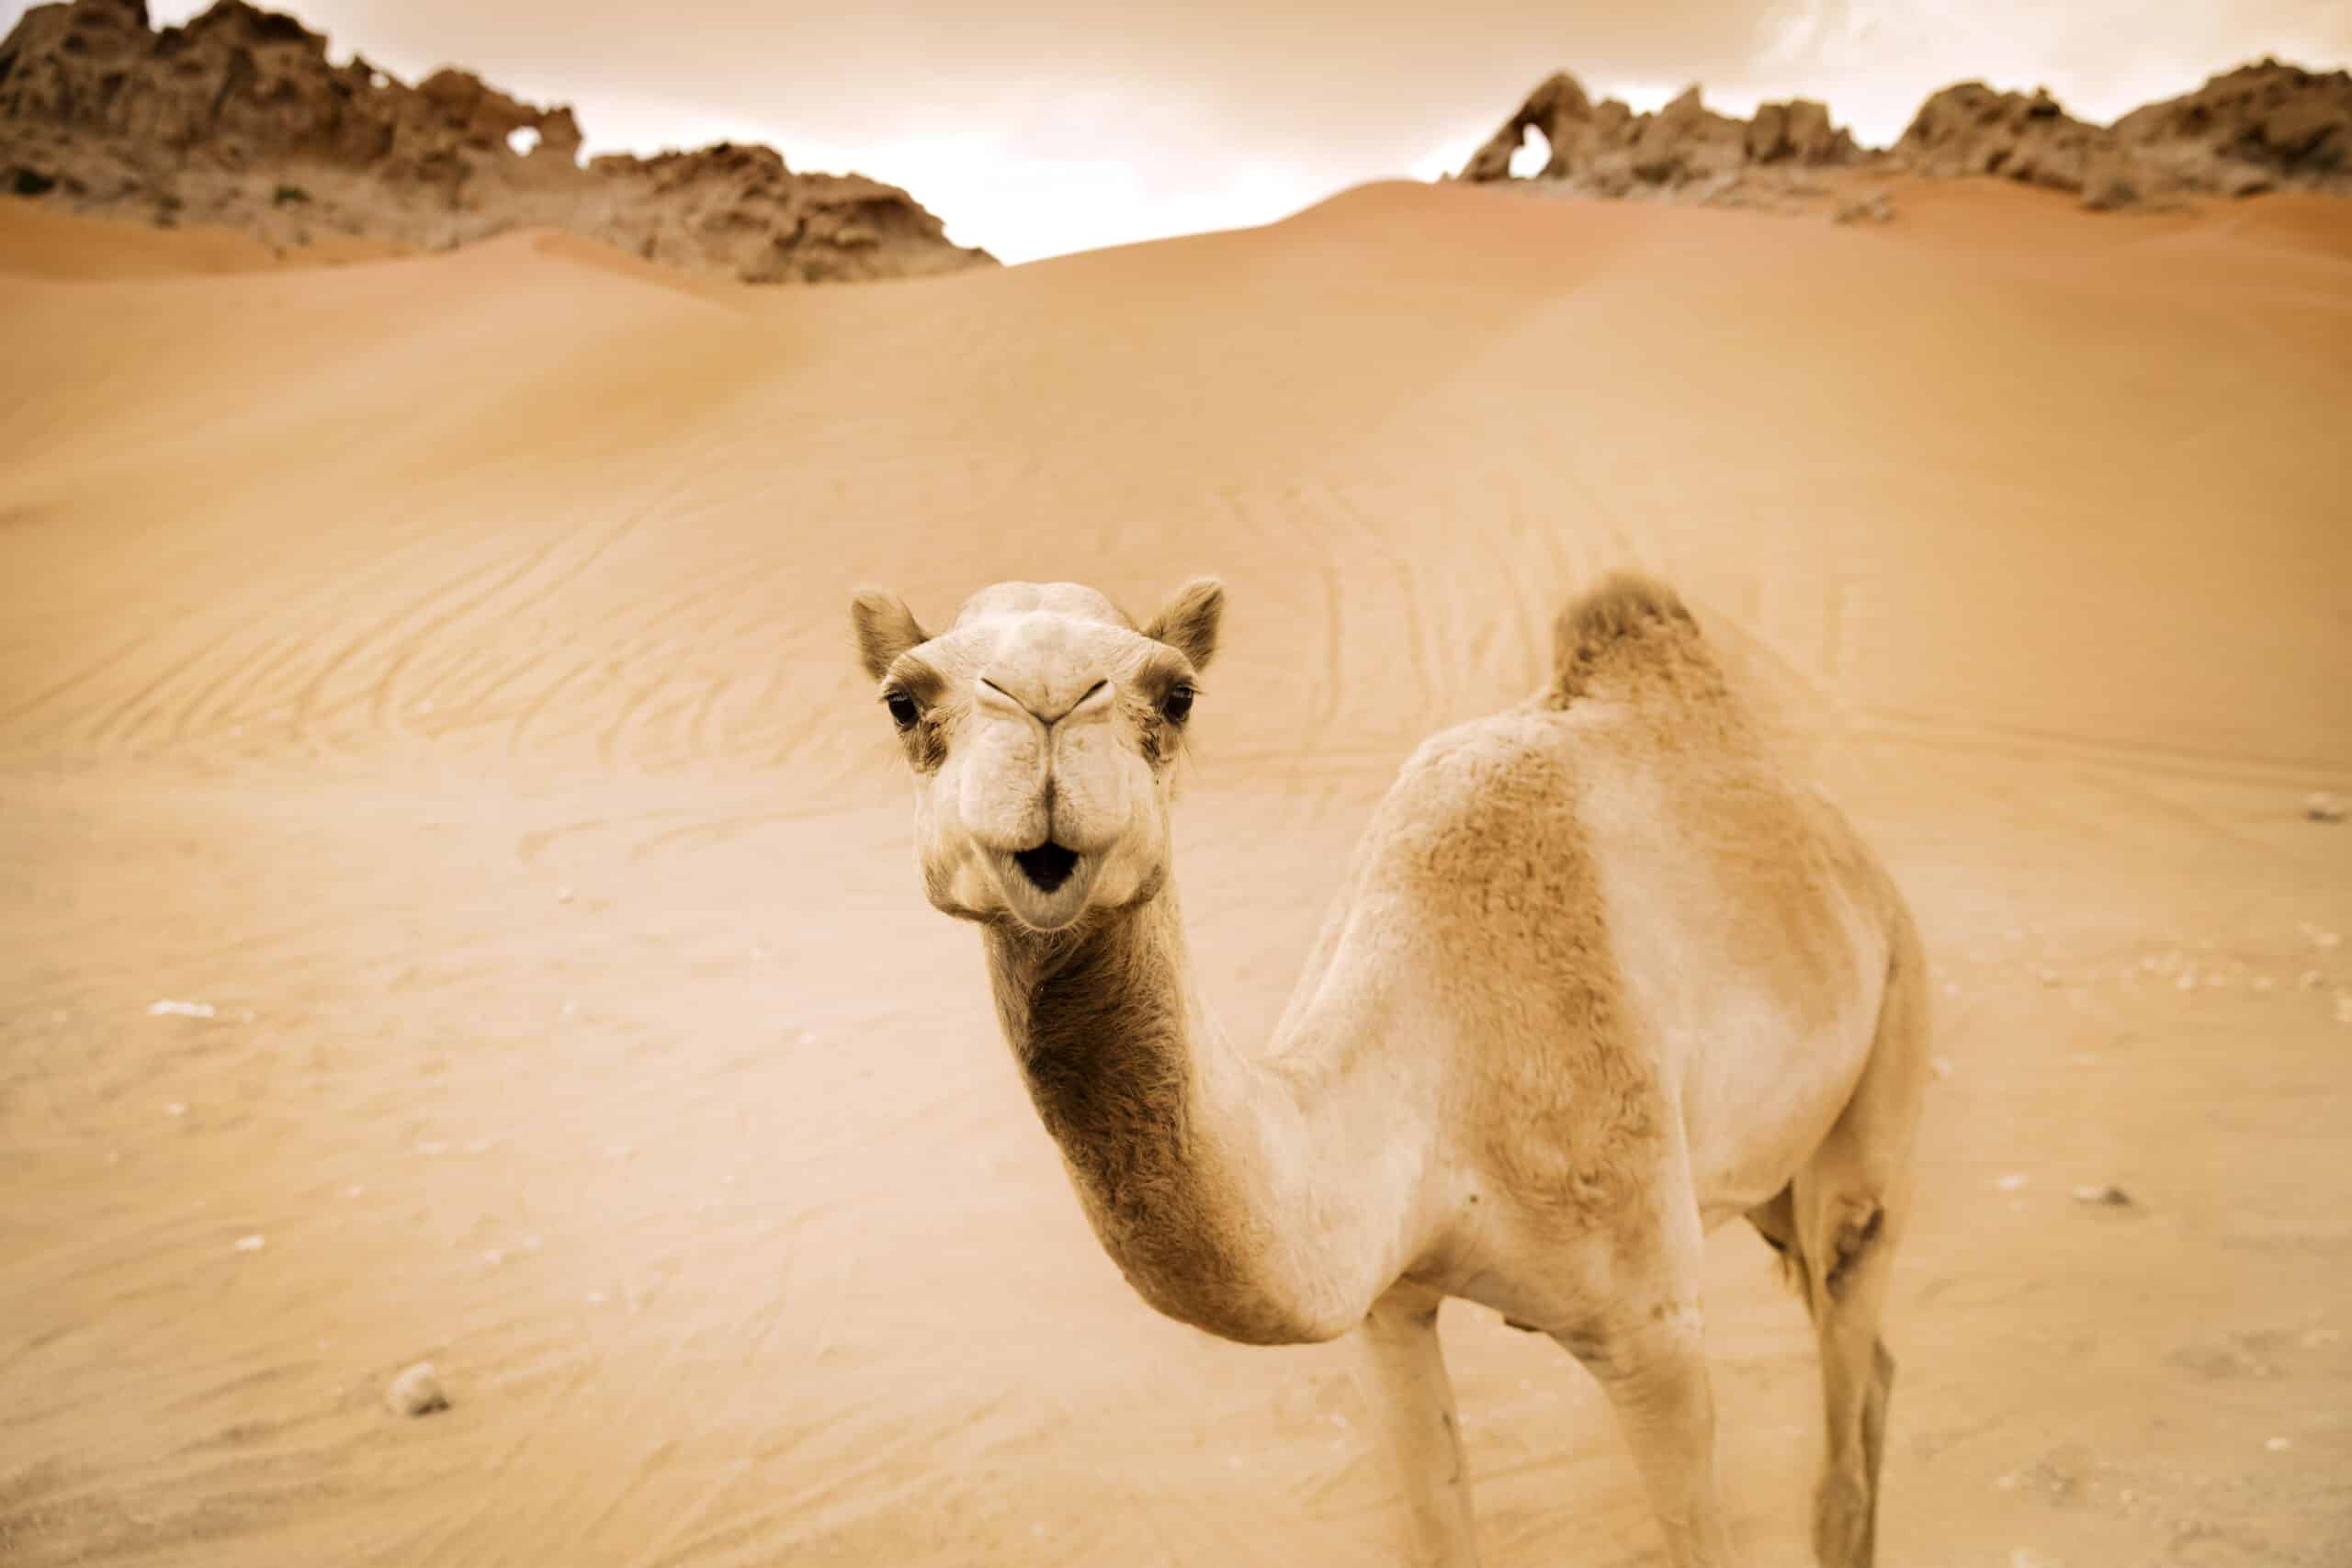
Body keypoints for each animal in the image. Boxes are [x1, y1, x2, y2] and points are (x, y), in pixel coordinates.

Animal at [846, 576, 1928, 1568]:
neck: (1432, 1092)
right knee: (1870, 1360)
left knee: (1847, 1348)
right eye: (902, 701)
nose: (1046, 710)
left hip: (1889, 1020)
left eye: (1177, 693)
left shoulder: (1651, 1325)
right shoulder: (1385, 1306)